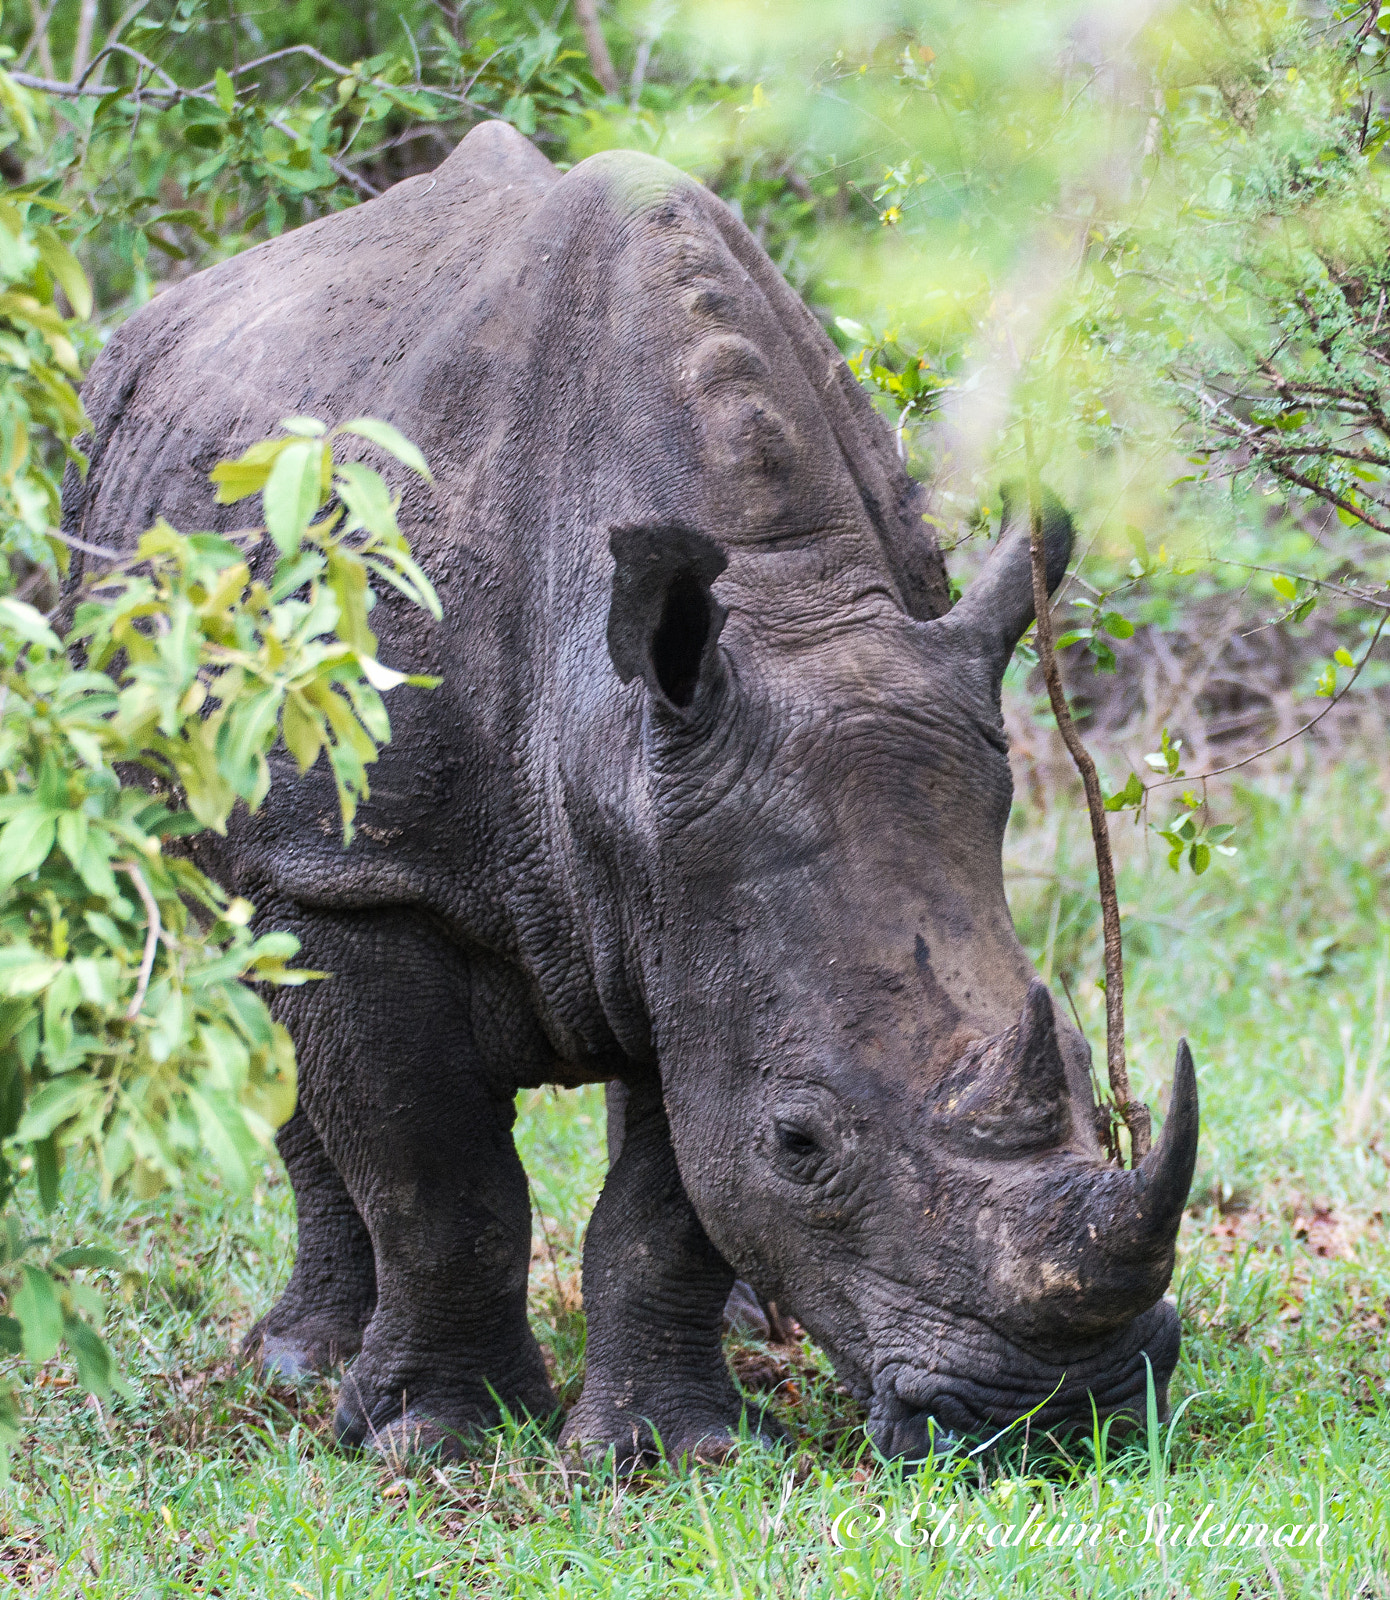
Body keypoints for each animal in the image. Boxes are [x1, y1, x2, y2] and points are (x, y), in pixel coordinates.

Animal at [64, 120, 1198, 1464]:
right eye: (801, 1142)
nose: (1067, 1412)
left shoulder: (692, 854)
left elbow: (668, 1196)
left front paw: (665, 1451)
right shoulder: (355, 874)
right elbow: (440, 1186)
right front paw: (435, 1438)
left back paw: (755, 1329)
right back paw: (302, 1364)